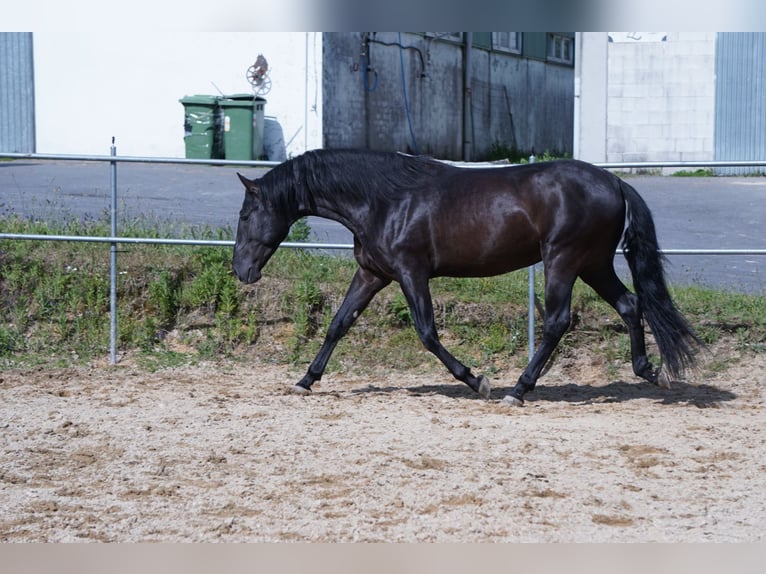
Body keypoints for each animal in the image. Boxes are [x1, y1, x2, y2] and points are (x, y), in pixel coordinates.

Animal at [231, 151, 700, 408]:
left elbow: (427, 333)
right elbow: (338, 324)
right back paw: (649, 372)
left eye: (246, 214)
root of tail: (615, 181)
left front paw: (478, 381)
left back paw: (518, 390)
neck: (384, 201)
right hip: (593, 264)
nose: (241, 271)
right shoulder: (373, 273)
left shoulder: (411, 273)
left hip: (564, 261)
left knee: (556, 322)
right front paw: (305, 381)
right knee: (630, 305)